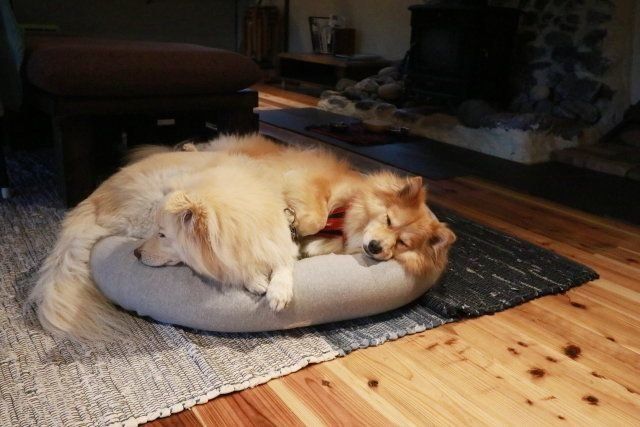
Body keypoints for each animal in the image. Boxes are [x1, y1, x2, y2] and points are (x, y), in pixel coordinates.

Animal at [32, 150, 298, 341]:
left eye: (162, 235)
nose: (136, 253)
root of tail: (94, 197)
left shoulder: (282, 237)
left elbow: (284, 261)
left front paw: (279, 291)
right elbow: (230, 269)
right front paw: (254, 279)